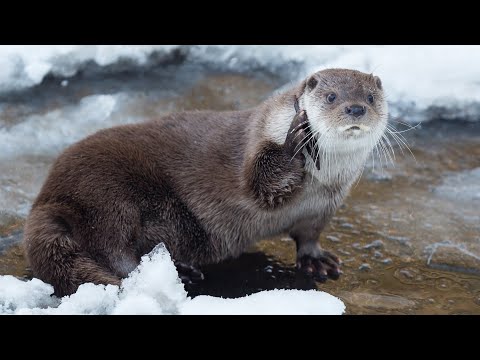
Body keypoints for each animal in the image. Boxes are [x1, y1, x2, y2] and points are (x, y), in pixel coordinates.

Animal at [24, 68, 388, 296]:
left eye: (370, 97)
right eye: (331, 96)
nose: (355, 109)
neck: (321, 182)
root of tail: (47, 197)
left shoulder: (324, 205)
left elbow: (309, 235)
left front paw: (315, 260)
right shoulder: (256, 145)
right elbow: (261, 181)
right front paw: (294, 140)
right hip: (106, 193)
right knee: (111, 247)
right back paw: (176, 271)